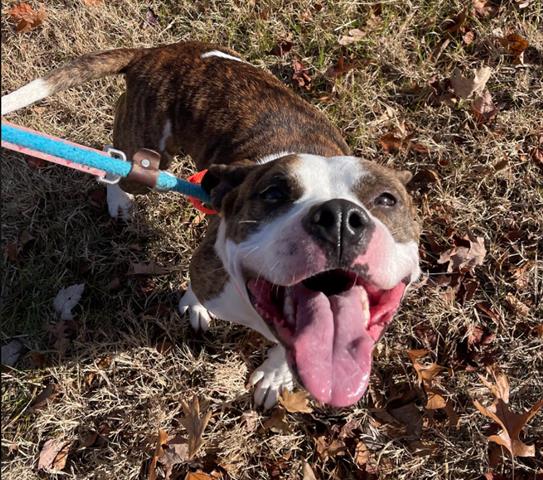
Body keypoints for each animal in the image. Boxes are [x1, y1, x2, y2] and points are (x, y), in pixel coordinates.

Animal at [1, 42, 420, 408]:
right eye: (273, 193)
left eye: (387, 199)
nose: (339, 219)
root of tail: (154, 52)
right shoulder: (208, 270)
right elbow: (199, 287)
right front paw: (195, 305)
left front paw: (275, 374)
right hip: (148, 156)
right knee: (117, 161)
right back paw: (119, 199)